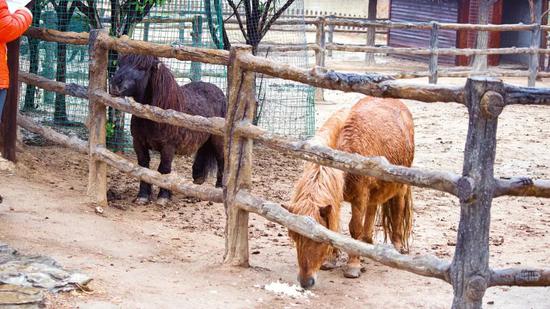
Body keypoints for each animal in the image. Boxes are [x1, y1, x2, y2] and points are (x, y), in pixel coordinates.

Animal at [292, 97, 416, 288]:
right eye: (295, 237)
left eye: (317, 239)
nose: (306, 282)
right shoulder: (337, 199)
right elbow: (335, 226)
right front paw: (331, 260)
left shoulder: (359, 197)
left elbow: (354, 227)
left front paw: (353, 266)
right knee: (372, 209)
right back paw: (366, 243)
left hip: (399, 185)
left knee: (397, 209)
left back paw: (397, 246)